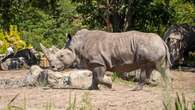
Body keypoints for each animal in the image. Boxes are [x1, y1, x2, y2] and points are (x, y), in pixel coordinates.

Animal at [40, 29, 171, 90]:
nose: (52, 67)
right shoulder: (93, 63)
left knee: (151, 67)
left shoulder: (99, 62)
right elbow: (94, 77)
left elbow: (98, 77)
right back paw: (166, 89)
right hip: (154, 46)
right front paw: (92, 89)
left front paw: (110, 84)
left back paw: (136, 89)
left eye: (61, 55)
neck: (76, 47)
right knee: (155, 67)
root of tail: (162, 41)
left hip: (151, 46)